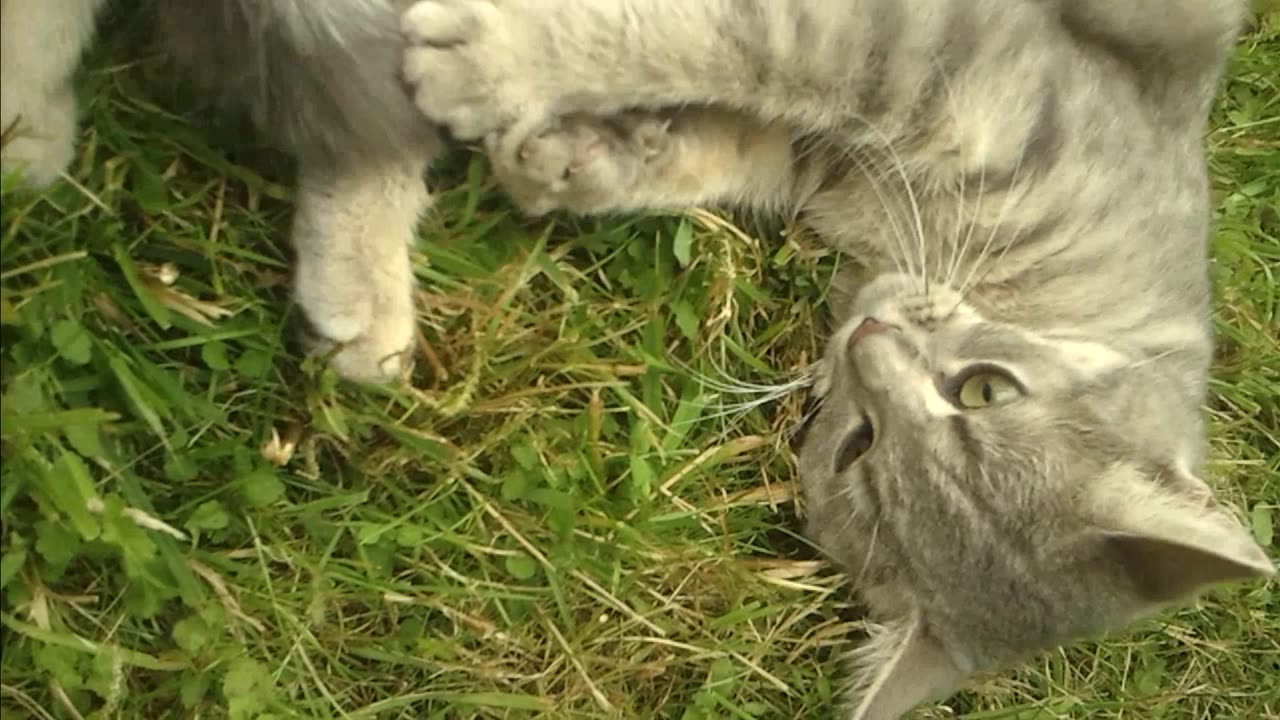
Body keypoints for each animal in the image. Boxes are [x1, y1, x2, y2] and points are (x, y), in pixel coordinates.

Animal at [396, 0, 1269, 712]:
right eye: (986, 391)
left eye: (856, 448)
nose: (868, 337)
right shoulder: (941, 60)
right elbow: (753, 40)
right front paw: (498, 65)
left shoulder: (842, 139)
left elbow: (736, 114)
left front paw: (567, 149)